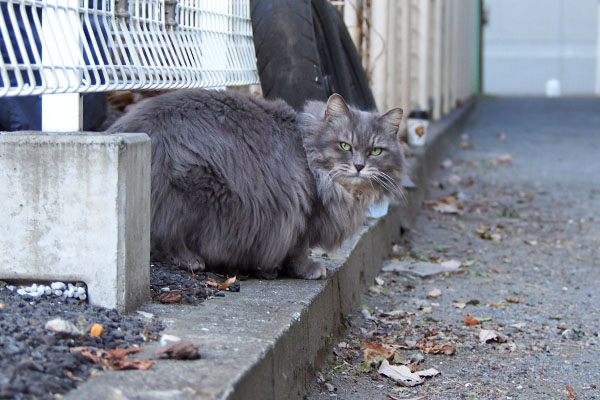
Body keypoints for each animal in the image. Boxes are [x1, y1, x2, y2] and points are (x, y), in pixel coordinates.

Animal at [108, 89, 404, 280]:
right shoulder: (302, 212)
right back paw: (191, 261)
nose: (359, 166)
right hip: (193, 191)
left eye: (376, 151)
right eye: (345, 145)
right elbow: (299, 250)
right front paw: (307, 269)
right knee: (165, 236)